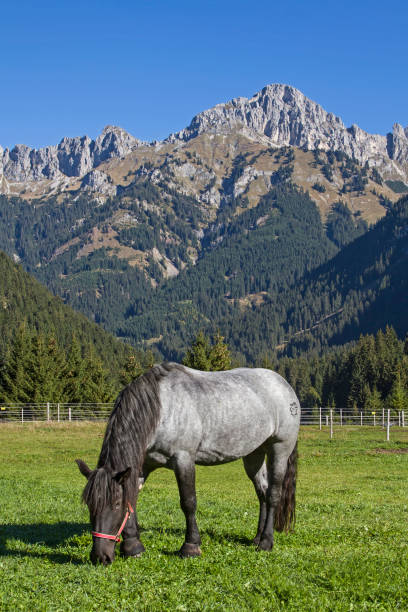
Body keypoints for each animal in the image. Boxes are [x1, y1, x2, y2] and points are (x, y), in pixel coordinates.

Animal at [75, 360, 300, 568]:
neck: (161, 408)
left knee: (273, 494)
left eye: (115, 504)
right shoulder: (141, 466)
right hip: (254, 454)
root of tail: (284, 386)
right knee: (262, 492)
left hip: (279, 449)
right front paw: (133, 547)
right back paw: (257, 537)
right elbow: (133, 499)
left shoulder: (183, 459)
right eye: (90, 505)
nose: (100, 557)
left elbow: (188, 502)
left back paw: (266, 542)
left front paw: (191, 546)